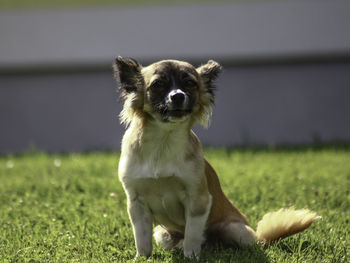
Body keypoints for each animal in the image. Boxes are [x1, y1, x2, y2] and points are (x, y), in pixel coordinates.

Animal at [113, 56, 320, 260]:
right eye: (157, 84)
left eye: (190, 84)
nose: (178, 95)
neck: (164, 142)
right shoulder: (136, 204)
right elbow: (142, 238)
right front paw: (141, 258)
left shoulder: (198, 199)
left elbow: (192, 234)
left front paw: (191, 256)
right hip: (162, 234)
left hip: (236, 230)